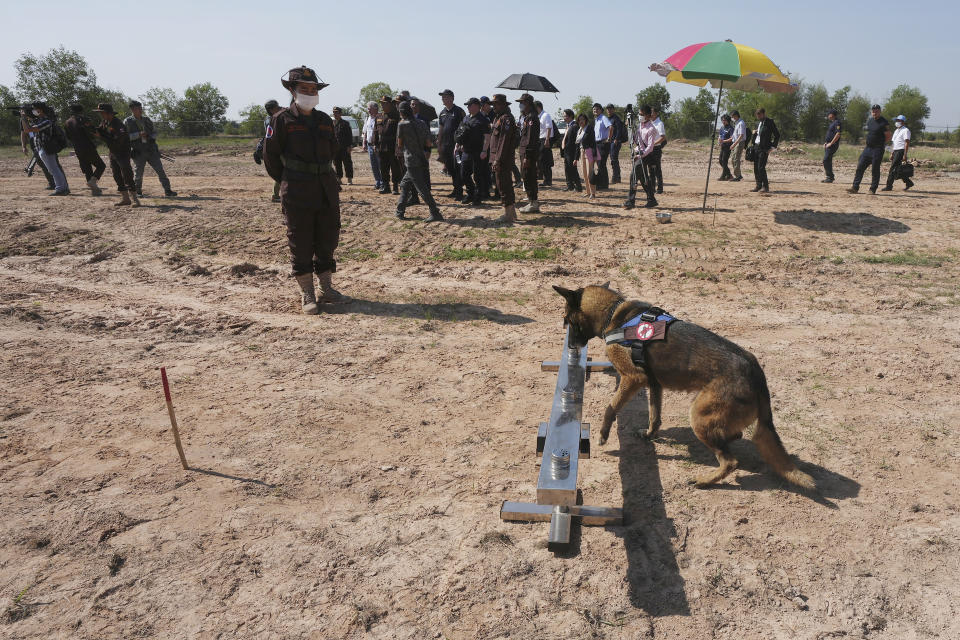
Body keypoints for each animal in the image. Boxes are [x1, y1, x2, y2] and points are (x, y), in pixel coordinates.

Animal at [552, 284, 812, 490]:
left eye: (566, 319)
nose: (571, 348)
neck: (613, 314)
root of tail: (755, 370)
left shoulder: (633, 378)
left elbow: (610, 408)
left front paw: (603, 435)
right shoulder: (654, 384)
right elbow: (654, 416)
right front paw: (650, 435)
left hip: (698, 416)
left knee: (731, 461)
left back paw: (705, 480)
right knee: (734, 435)